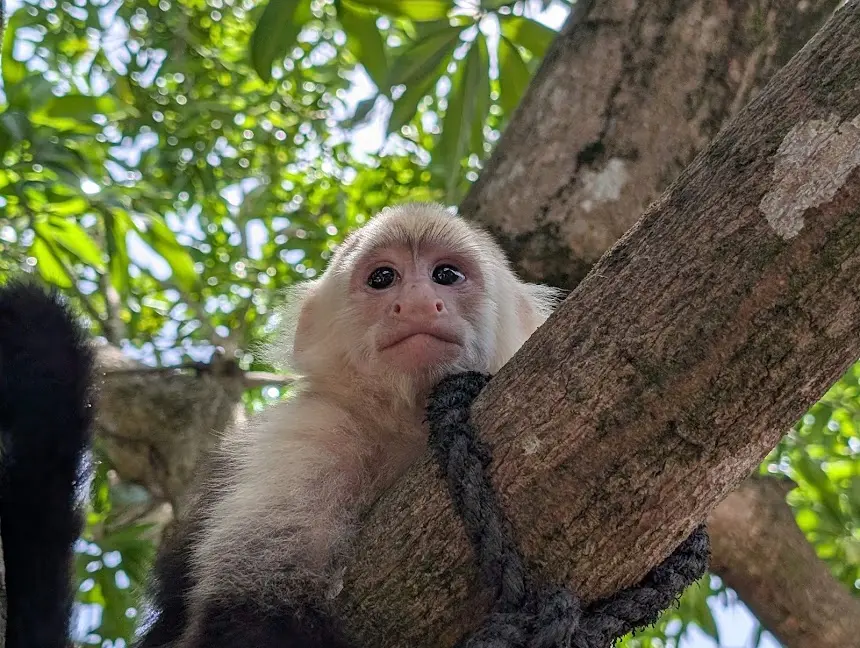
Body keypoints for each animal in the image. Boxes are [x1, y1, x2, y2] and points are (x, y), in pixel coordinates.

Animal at [134, 202, 562, 648]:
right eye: (383, 278)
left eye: (446, 275)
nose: (417, 303)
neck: (406, 425)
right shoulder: (314, 433)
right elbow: (247, 613)